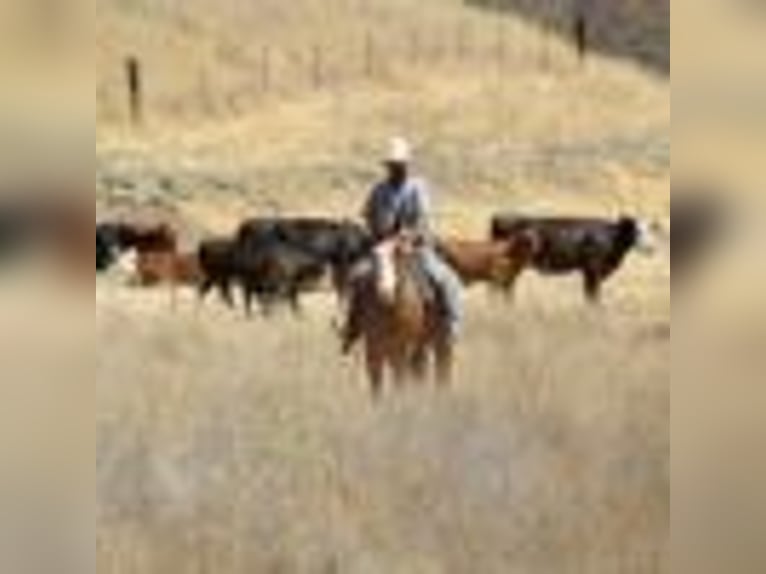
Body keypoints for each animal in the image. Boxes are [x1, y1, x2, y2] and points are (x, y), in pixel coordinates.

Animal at [341, 236, 454, 397]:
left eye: (397, 255)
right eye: (374, 258)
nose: (384, 291)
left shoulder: (402, 345)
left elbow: (399, 376)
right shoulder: (374, 345)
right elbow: (376, 379)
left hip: (439, 340)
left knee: (440, 365)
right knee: (419, 367)